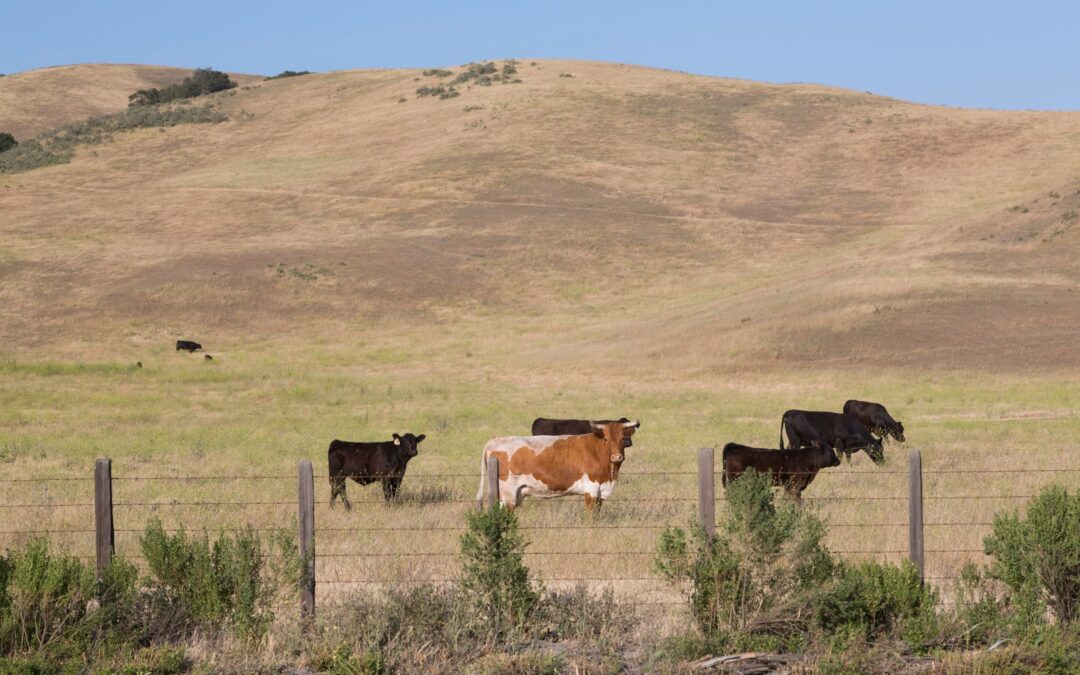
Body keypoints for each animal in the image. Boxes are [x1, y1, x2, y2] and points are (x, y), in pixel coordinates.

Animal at [475, 419, 639, 507]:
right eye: (606, 439)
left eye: (623, 439)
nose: (616, 457)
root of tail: (495, 440)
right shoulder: (591, 490)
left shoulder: (600, 492)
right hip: (508, 494)